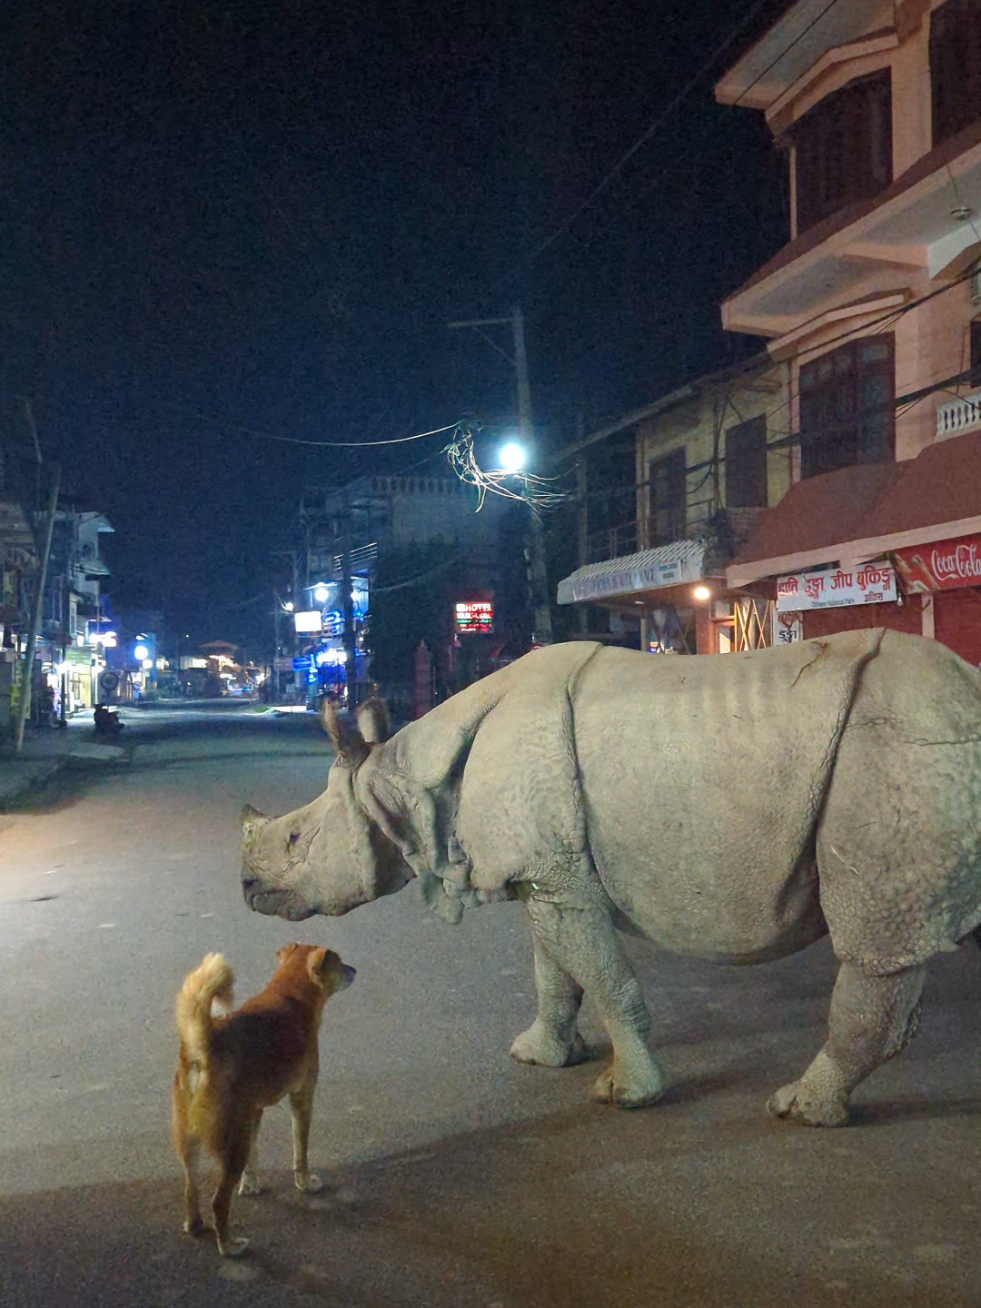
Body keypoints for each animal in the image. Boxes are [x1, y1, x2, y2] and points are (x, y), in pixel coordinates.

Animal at [241, 628, 981, 1126]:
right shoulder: (545, 876)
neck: (402, 783)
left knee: (874, 943)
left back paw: (796, 1109)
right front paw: (538, 1055)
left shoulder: (556, 879)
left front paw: (628, 1095)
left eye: (296, 839)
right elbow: (554, 974)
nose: (246, 890)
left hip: (897, 756)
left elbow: (603, 979)